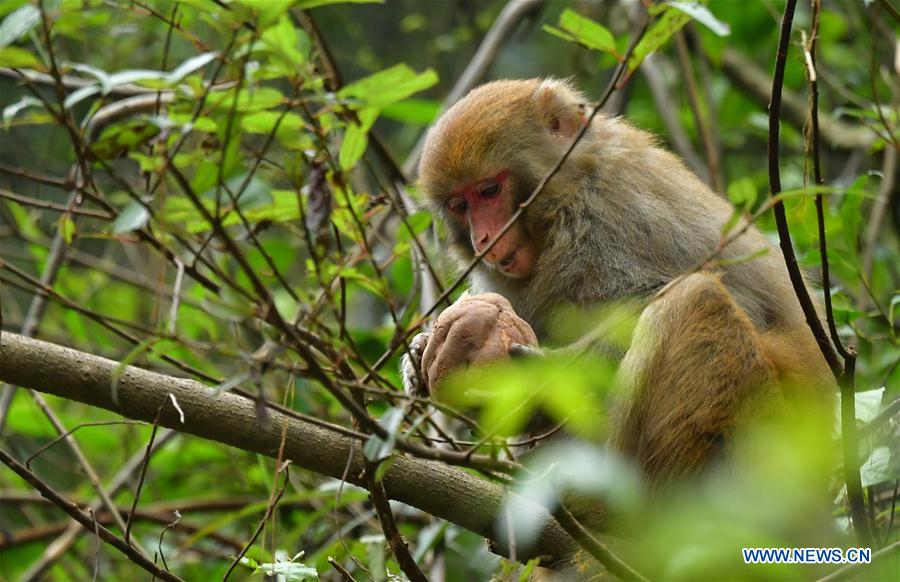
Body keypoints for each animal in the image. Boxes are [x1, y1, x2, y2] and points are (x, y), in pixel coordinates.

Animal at [403, 78, 835, 489]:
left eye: (489, 190)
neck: (562, 200)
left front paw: (542, 375)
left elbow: (673, 297)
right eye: (460, 205)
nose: (483, 239)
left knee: (695, 297)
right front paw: (420, 354)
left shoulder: (608, 218)